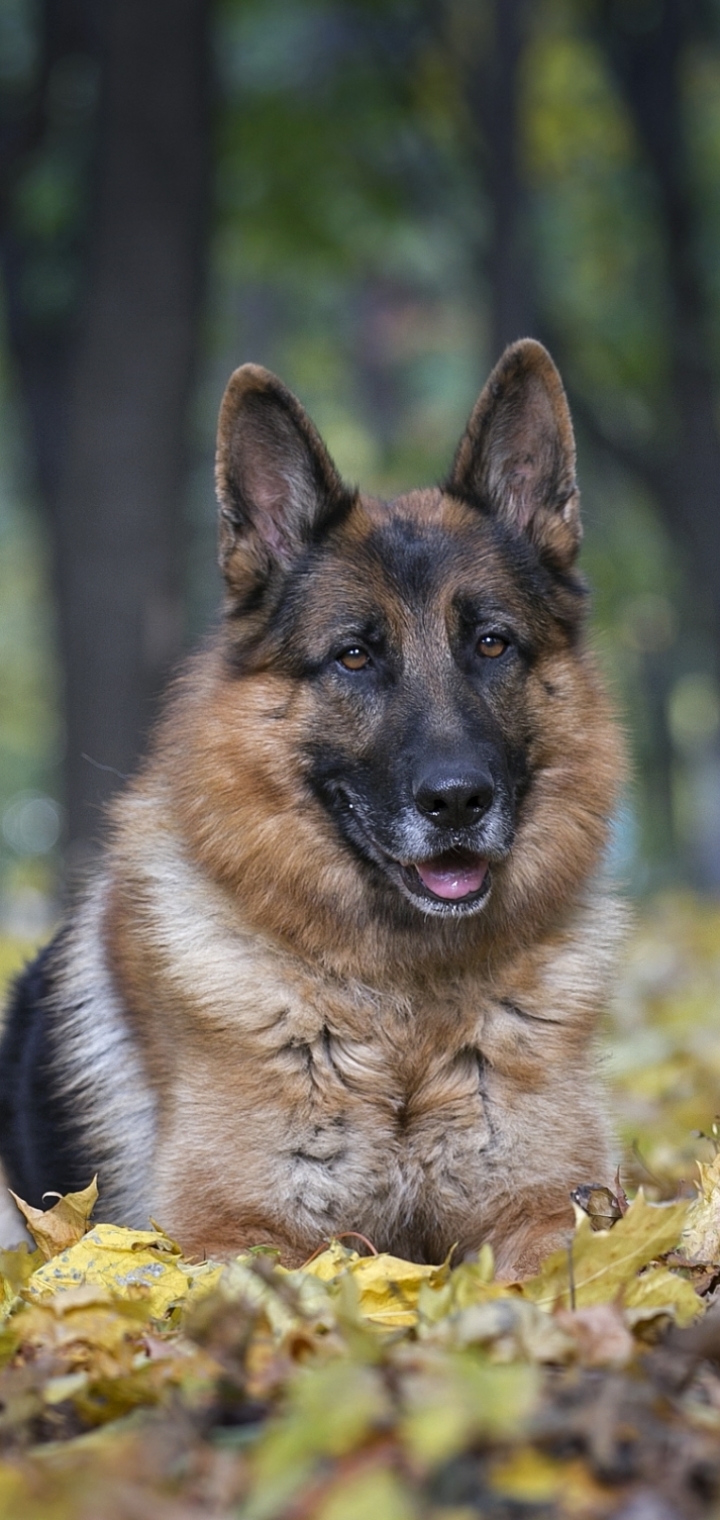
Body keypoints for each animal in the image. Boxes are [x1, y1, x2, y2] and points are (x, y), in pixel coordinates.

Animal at [0, 342, 625, 1270]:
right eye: (355, 656)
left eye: (491, 643)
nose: (457, 801)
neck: (402, 1015)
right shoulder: (235, 1235)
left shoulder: (552, 1211)